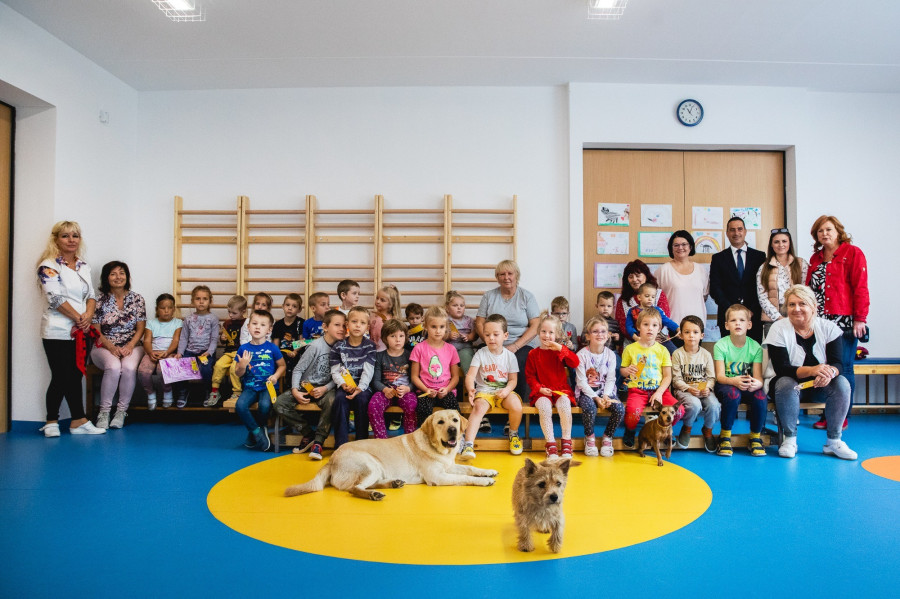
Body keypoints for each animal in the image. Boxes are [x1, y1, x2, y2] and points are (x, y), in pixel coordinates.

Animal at [284, 410, 498, 500]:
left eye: (455, 420)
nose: (453, 430)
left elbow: (469, 468)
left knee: (369, 484)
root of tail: (332, 459)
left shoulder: (449, 466)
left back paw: (392, 483)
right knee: (355, 488)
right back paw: (373, 495)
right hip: (369, 464)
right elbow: (465, 478)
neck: (437, 448)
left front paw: (488, 471)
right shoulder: (438, 477)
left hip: (376, 469)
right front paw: (484, 481)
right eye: (440, 422)